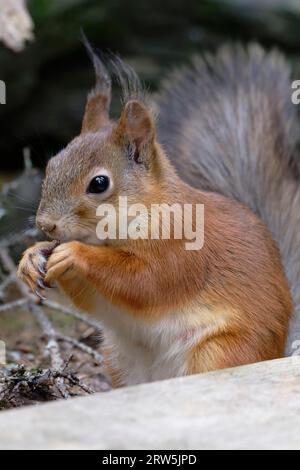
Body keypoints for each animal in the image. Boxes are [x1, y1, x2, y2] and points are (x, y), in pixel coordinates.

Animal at [17, 42, 292, 386]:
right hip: (119, 359)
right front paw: (32, 256)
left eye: (99, 183)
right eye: (52, 165)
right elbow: (91, 298)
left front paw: (74, 253)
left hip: (220, 351)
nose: (46, 225)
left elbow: (145, 282)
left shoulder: (182, 250)